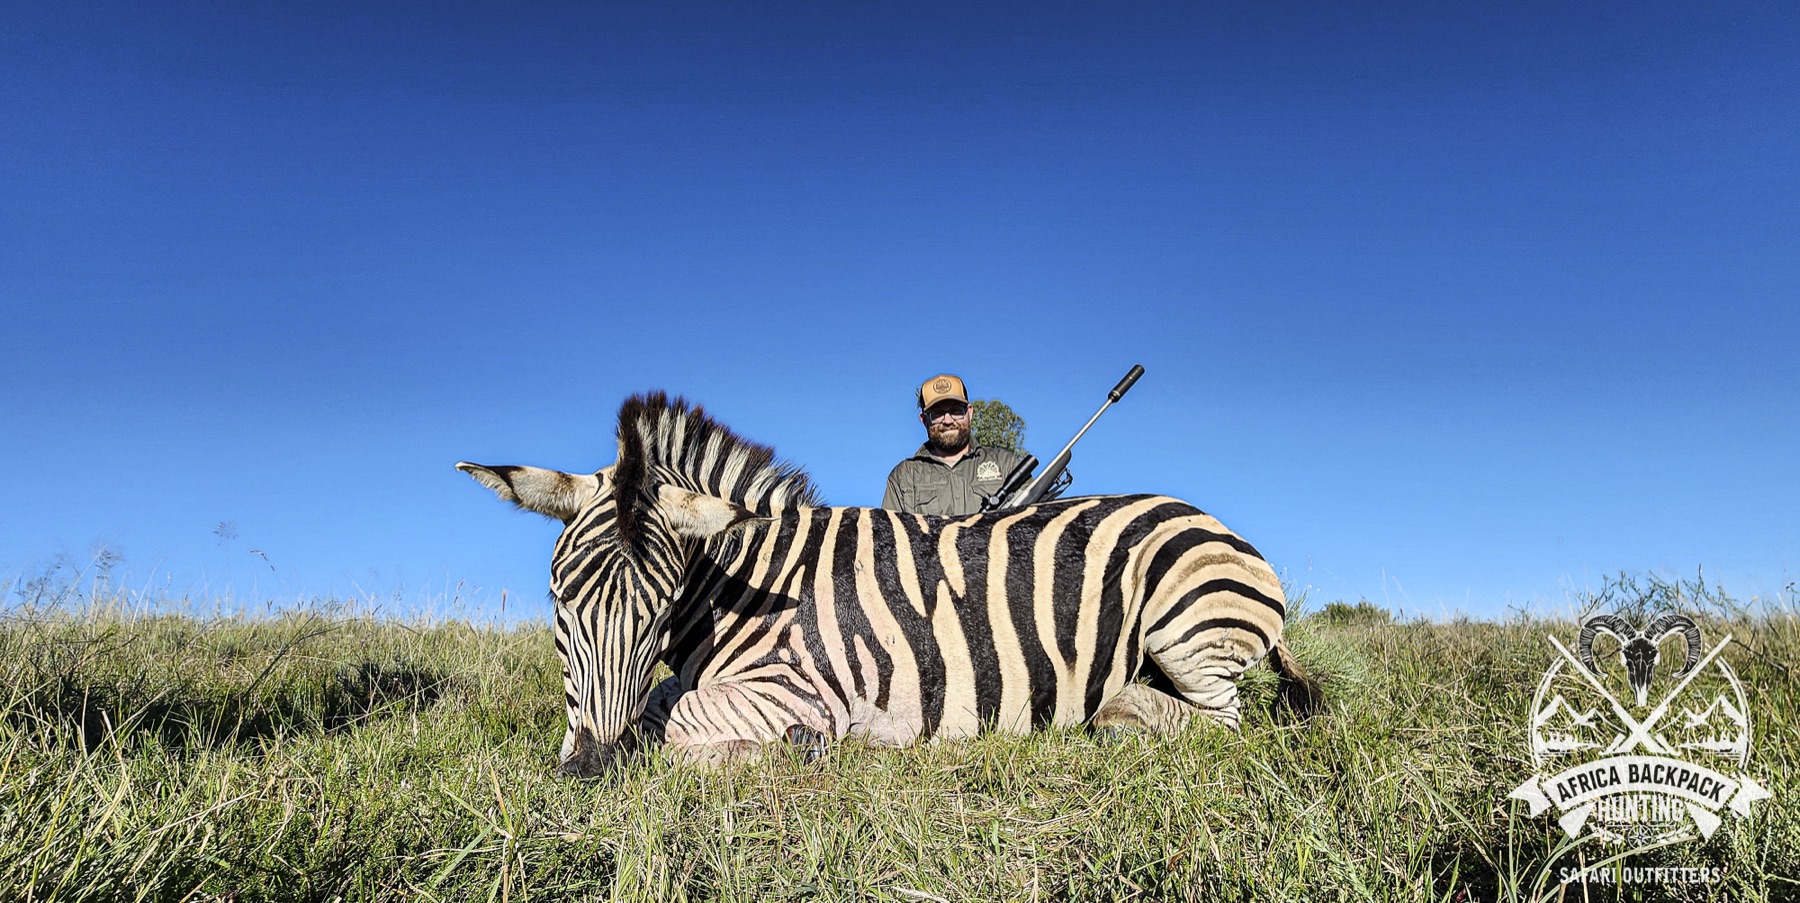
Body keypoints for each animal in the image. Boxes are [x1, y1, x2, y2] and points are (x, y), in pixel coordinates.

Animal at [459, 393, 1317, 776]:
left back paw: (1114, 718)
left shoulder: (800, 686)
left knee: (1218, 720)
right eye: (560, 603)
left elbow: (672, 716)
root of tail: (1217, 524)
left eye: (660, 609)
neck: (750, 589)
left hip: (1183, 621)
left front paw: (782, 746)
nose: (588, 770)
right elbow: (662, 701)